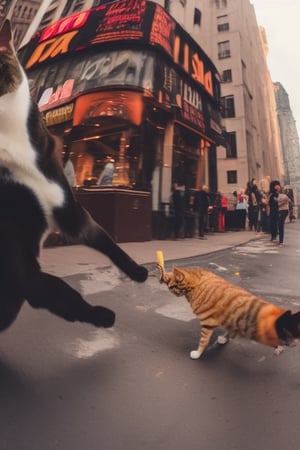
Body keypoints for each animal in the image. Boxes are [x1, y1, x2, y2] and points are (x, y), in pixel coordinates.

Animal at [0, 20, 148, 330]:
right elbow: (67, 296)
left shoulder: (70, 210)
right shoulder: (19, 252)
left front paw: (137, 272)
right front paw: (102, 316)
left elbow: (109, 243)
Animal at [158, 264, 298, 358]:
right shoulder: (227, 319)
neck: (196, 284)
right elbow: (229, 331)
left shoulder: (207, 322)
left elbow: (203, 341)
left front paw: (197, 354)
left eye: (172, 288)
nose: (169, 289)